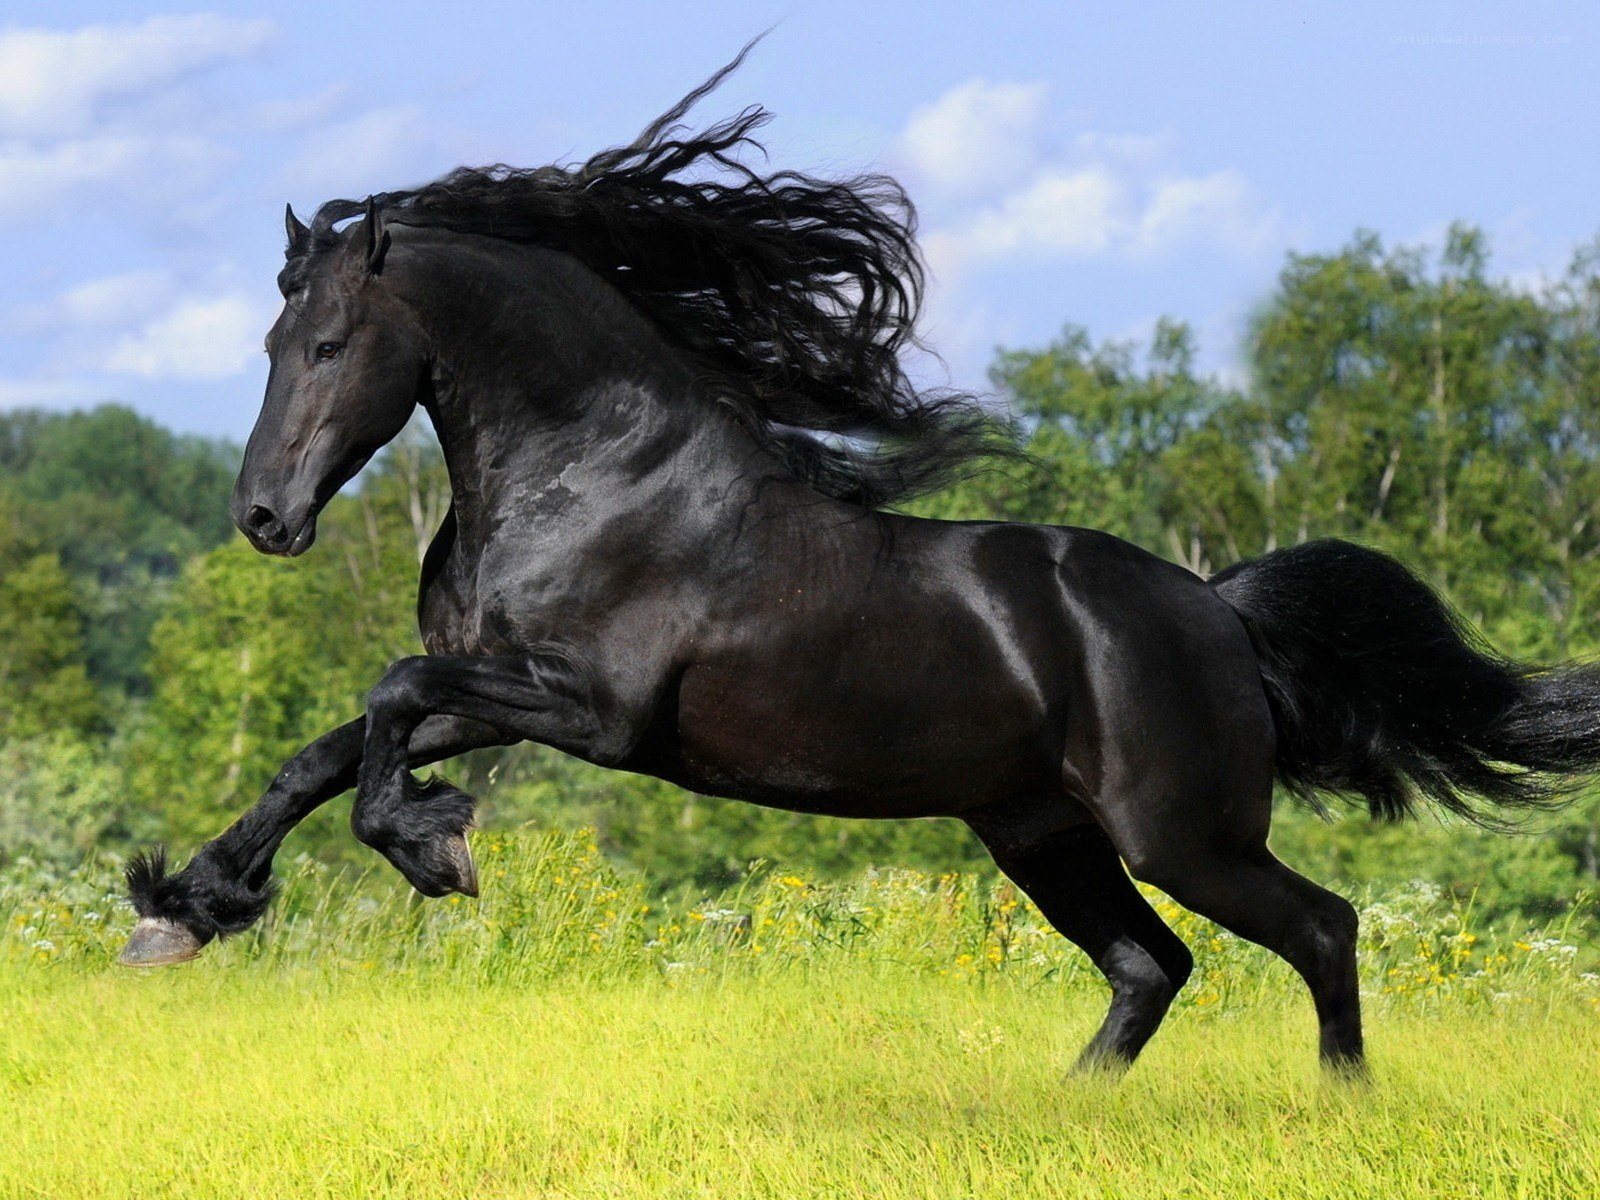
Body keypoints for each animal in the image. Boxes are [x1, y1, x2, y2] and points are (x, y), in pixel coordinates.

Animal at [120, 51, 1600, 1078]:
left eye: (326, 345)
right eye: (269, 341)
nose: (265, 518)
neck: (590, 475)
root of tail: (1219, 613)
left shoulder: (591, 712)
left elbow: (382, 696)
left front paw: (434, 852)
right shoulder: (499, 689)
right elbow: (324, 750)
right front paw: (183, 908)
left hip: (1182, 830)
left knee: (1320, 928)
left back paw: (1339, 1104)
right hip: (1043, 831)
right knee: (1150, 967)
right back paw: (1062, 1109)